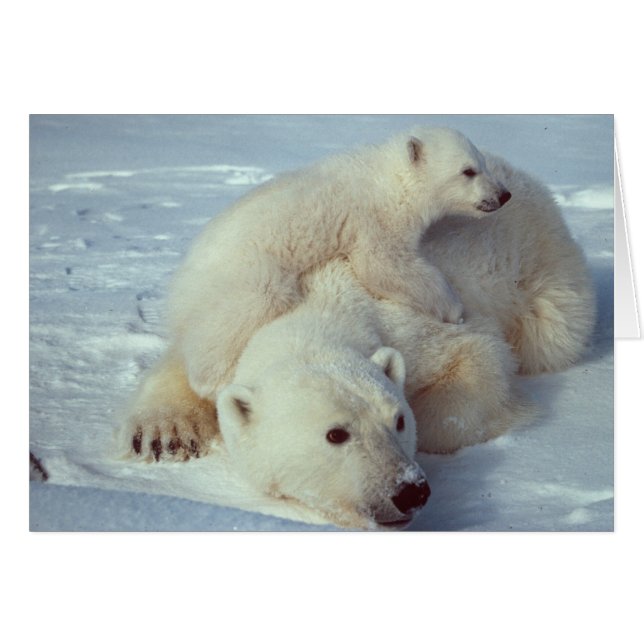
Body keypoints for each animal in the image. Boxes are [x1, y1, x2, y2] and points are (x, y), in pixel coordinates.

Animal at [167, 127, 512, 402]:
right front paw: (454, 309)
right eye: (468, 171)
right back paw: (214, 381)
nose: (503, 195)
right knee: (245, 311)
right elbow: (383, 265)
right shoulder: (375, 218)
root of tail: (180, 286)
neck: (389, 179)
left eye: (482, 164)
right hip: (246, 271)